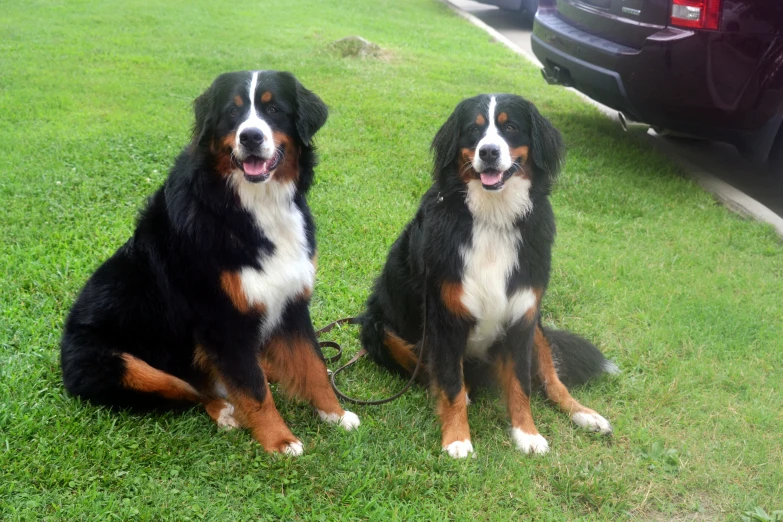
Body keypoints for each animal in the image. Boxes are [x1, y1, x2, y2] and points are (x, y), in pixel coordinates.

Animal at [62, 71, 362, 452]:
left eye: (273, 109)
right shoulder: (222, 319)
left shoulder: (291, 301)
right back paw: (226, 412)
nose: (250, 136)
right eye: (232, 113)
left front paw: (335, 415)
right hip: (124, 365)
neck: (255, 205)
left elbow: (313, 364)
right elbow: (254, 389)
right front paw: (280, 441)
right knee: (193, 391)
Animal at [360, 93, 620, 456]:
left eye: (510, 128)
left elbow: (522, 384)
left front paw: (527, 433)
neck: (493, 218)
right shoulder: (445, 317)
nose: (489, 152)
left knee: (552, 379)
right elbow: (450, 383)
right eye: (474, 129)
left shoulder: (522, 314)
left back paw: (584, 414)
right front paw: (457, 439)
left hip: (537, 327)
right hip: (377, 326)